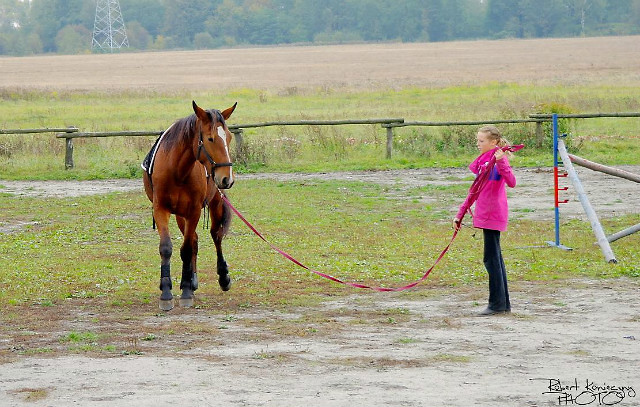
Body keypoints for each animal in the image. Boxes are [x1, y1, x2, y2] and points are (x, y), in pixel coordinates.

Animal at [142, 100, 238, 310]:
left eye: (228, 137)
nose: (227, 178)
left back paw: (222, 277)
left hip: (214, 202)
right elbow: (167, 247)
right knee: (194, 239)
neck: (177, 170)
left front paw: (185, 291)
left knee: (216, 235)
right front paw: (166, 292)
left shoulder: (193, 211)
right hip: (180, 214)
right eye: (210, 139)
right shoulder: (161, 209)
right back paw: (192, 280)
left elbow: (185, 249)